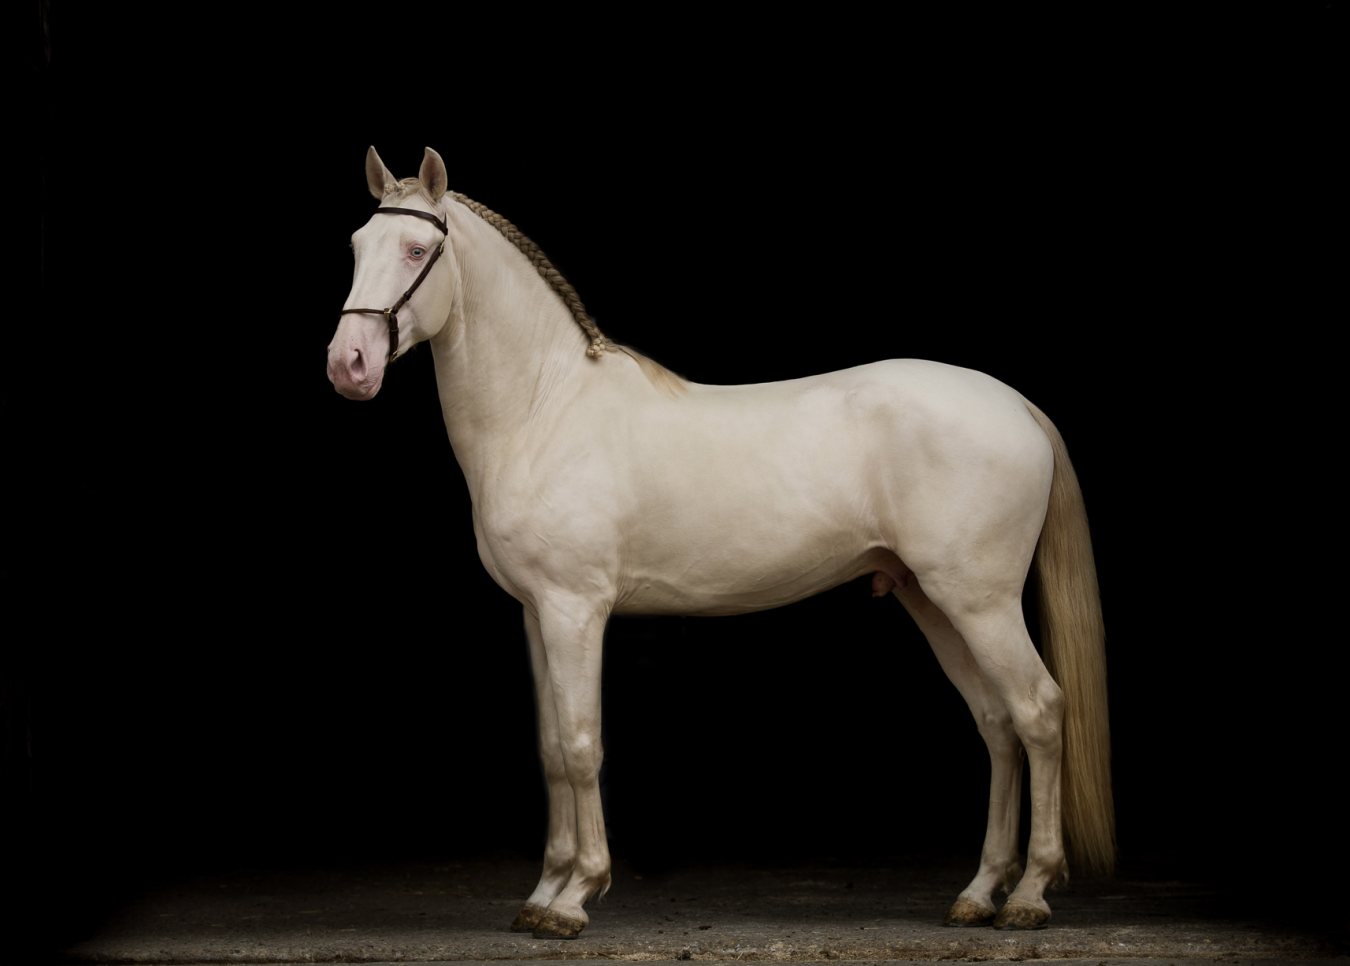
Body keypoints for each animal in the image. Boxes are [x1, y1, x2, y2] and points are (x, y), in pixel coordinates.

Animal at [326, 146, 1115, 938]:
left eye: (417, 250)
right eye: (358, 246)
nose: (348, 364)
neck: (544, 409)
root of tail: (1014, 402)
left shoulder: (575, 610)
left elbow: (582, 746)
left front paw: (578, 895)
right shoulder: (535, 613)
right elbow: (551, 751)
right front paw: (543, 894)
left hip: (981, 602)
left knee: (1040, 713)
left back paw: (1028, 895)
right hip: (933, 600)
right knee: (998, 724)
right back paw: (979, 892)